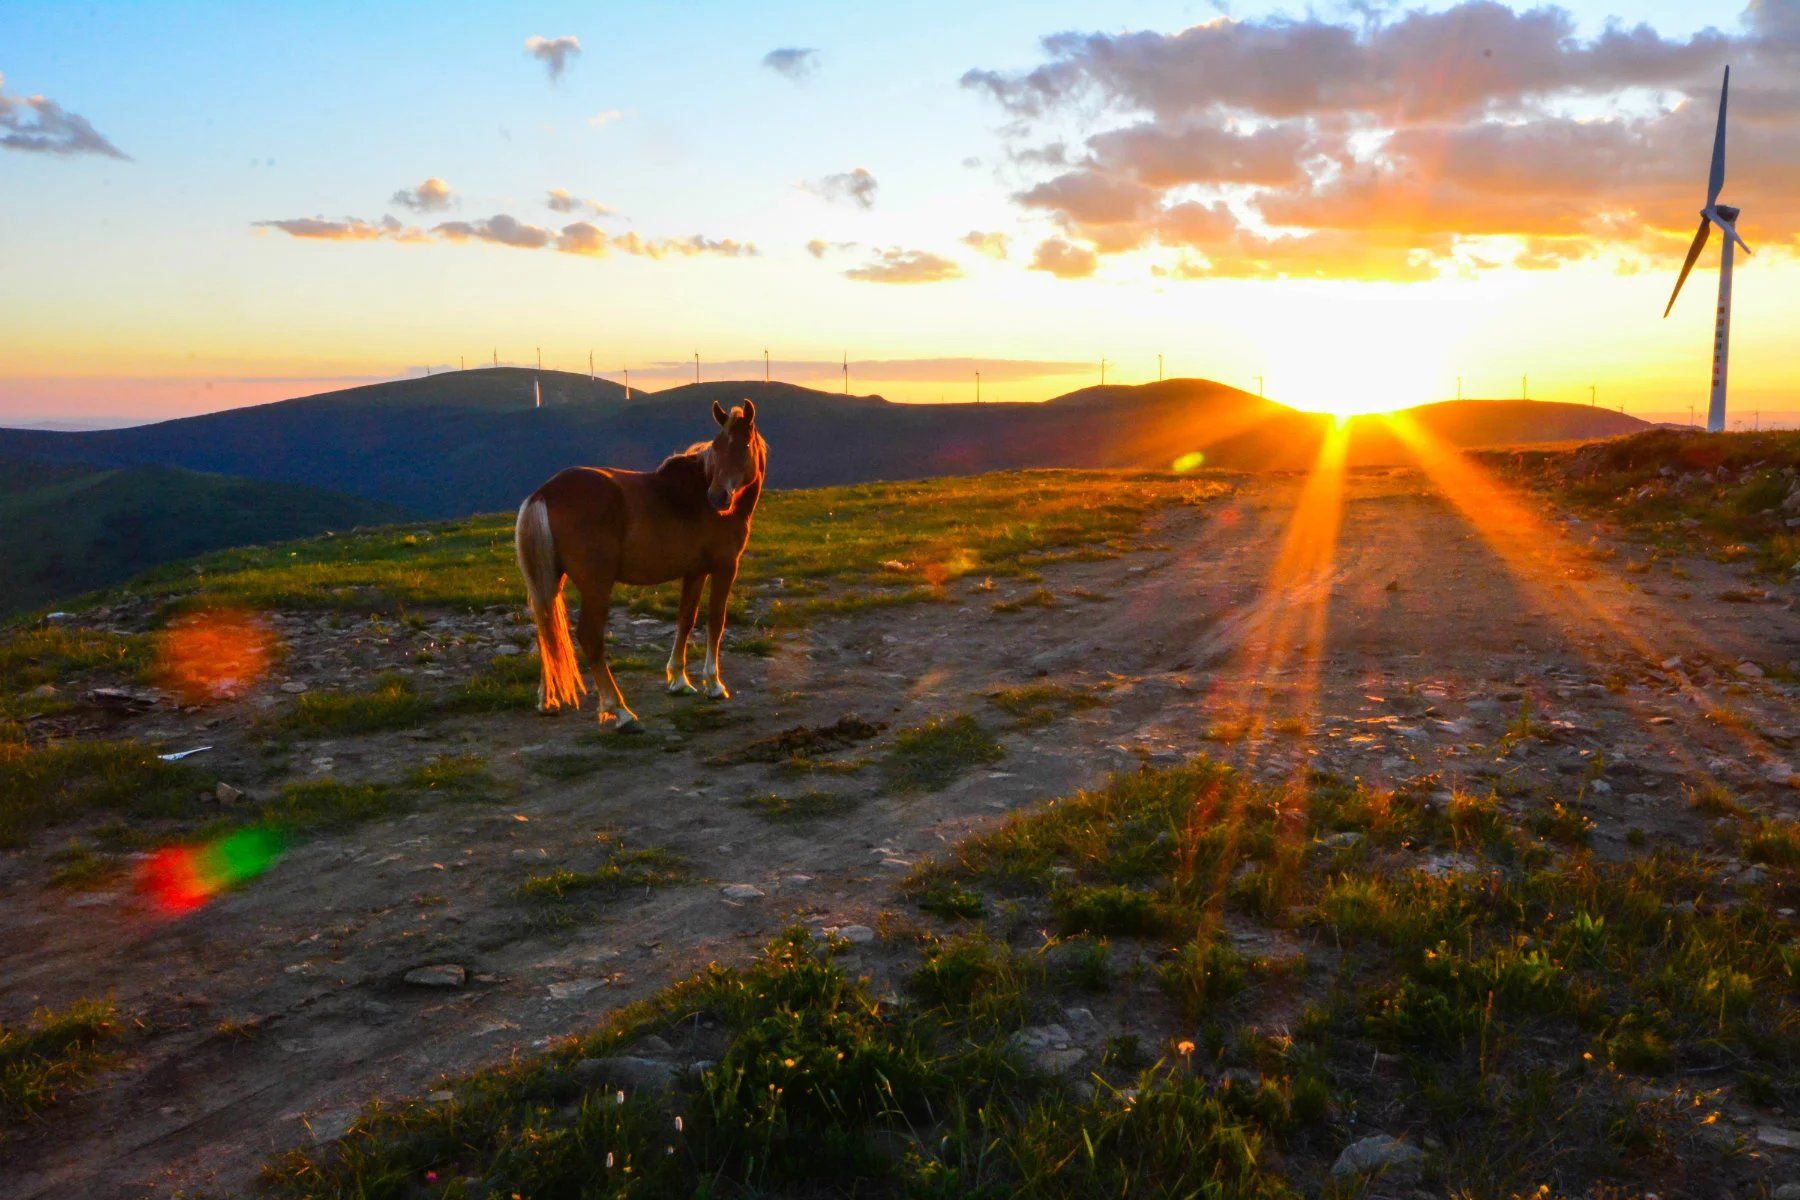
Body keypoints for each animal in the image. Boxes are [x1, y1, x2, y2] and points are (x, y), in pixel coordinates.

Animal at [514, 399, 766, 726]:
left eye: (744, 444)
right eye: (717, 445)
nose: (717, 497)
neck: (696, 496)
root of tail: (545, 492)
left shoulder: (695, 572)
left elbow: (686, 619)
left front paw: (679, 679)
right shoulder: (724, 567)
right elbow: (716, 621)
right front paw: (713, 683)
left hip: (550, 579)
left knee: (547, 630)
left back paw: (548, 700)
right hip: (596, 586)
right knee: (589, 637)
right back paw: (619, 710)